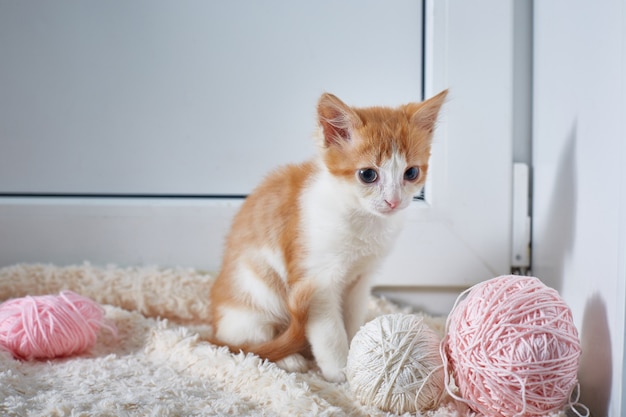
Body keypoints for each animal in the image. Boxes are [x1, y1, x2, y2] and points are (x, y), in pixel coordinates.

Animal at [210, 90, 444, 380]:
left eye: (411, 173)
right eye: (368, 174)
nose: (393, 201)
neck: (360, 219)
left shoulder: (361, 280)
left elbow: (352, 320)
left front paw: (359, 354)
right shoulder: (316, 282)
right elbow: (330, 334)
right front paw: (340, 373)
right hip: (253, 296)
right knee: (250, 344)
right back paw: (288, 359)